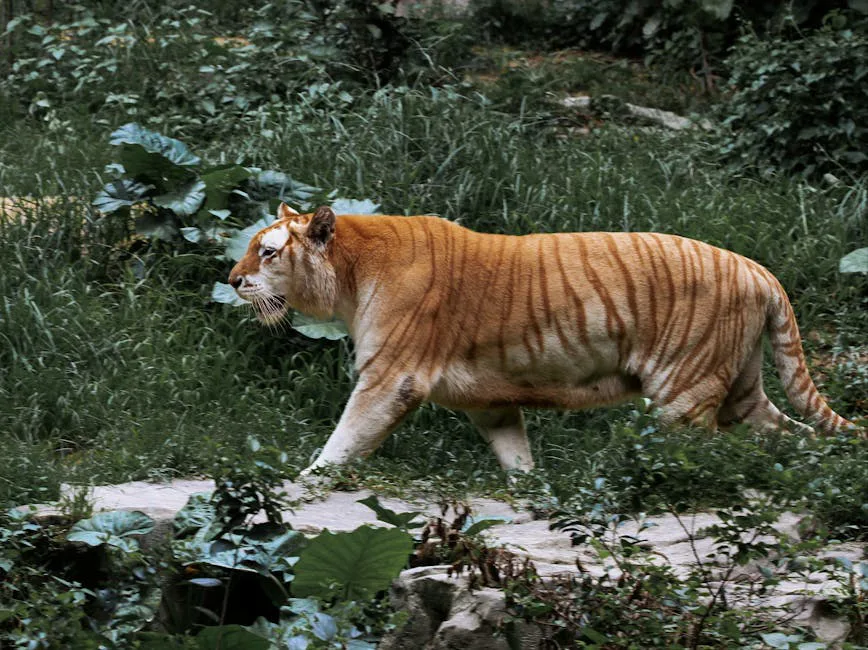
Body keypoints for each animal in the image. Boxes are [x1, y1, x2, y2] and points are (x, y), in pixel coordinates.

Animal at [228, 203, 857, 476]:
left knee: (697, 454)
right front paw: (533, 493)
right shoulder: (490, 401)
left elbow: (345, 438)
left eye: (267, 251)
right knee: (791, 435)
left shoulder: (391, 378)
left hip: (684, 392)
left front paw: (306, 482)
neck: (350, 278)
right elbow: (516, 456)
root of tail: (759, 269)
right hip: (742, 391)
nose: (231, 280)